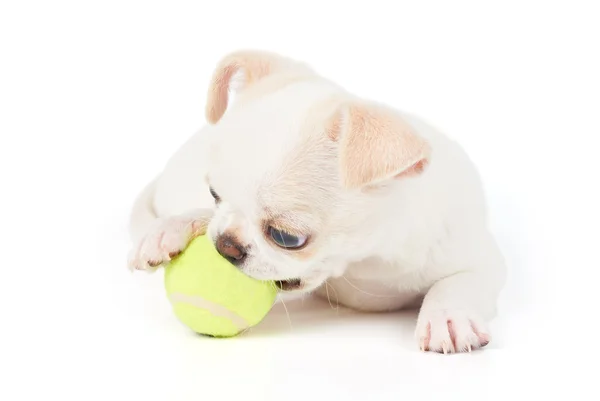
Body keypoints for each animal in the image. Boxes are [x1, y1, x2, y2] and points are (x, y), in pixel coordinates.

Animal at [127, 50, 506, 354]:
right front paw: (174, 228)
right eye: (214, 195)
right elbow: (204, 215)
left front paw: (448, 316)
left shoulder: (480, 257)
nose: (225, 245)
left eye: (286, 237)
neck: (368, 261)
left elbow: (456, 283)